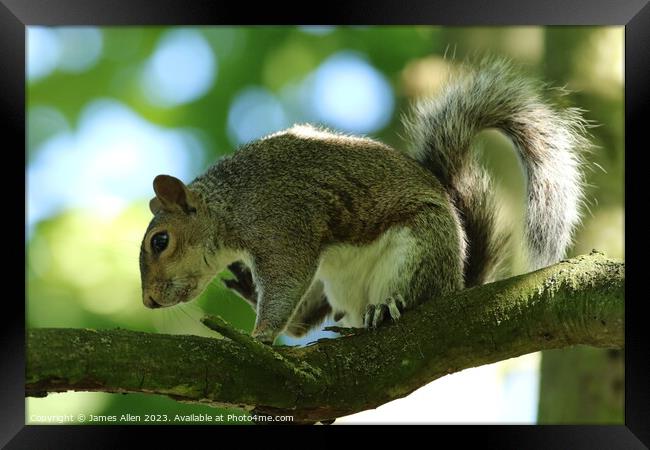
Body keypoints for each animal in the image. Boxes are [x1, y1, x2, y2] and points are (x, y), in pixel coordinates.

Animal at [139, 57, 588, 344]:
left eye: (160, 241)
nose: (148, 302)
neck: (230, 204)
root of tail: (457, 283)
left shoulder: (282, 226)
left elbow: (285, 284)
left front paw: (260, 335)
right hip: (332, 284)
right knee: (306, 323)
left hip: (418, 249)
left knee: (411, 293)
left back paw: (386, 308)